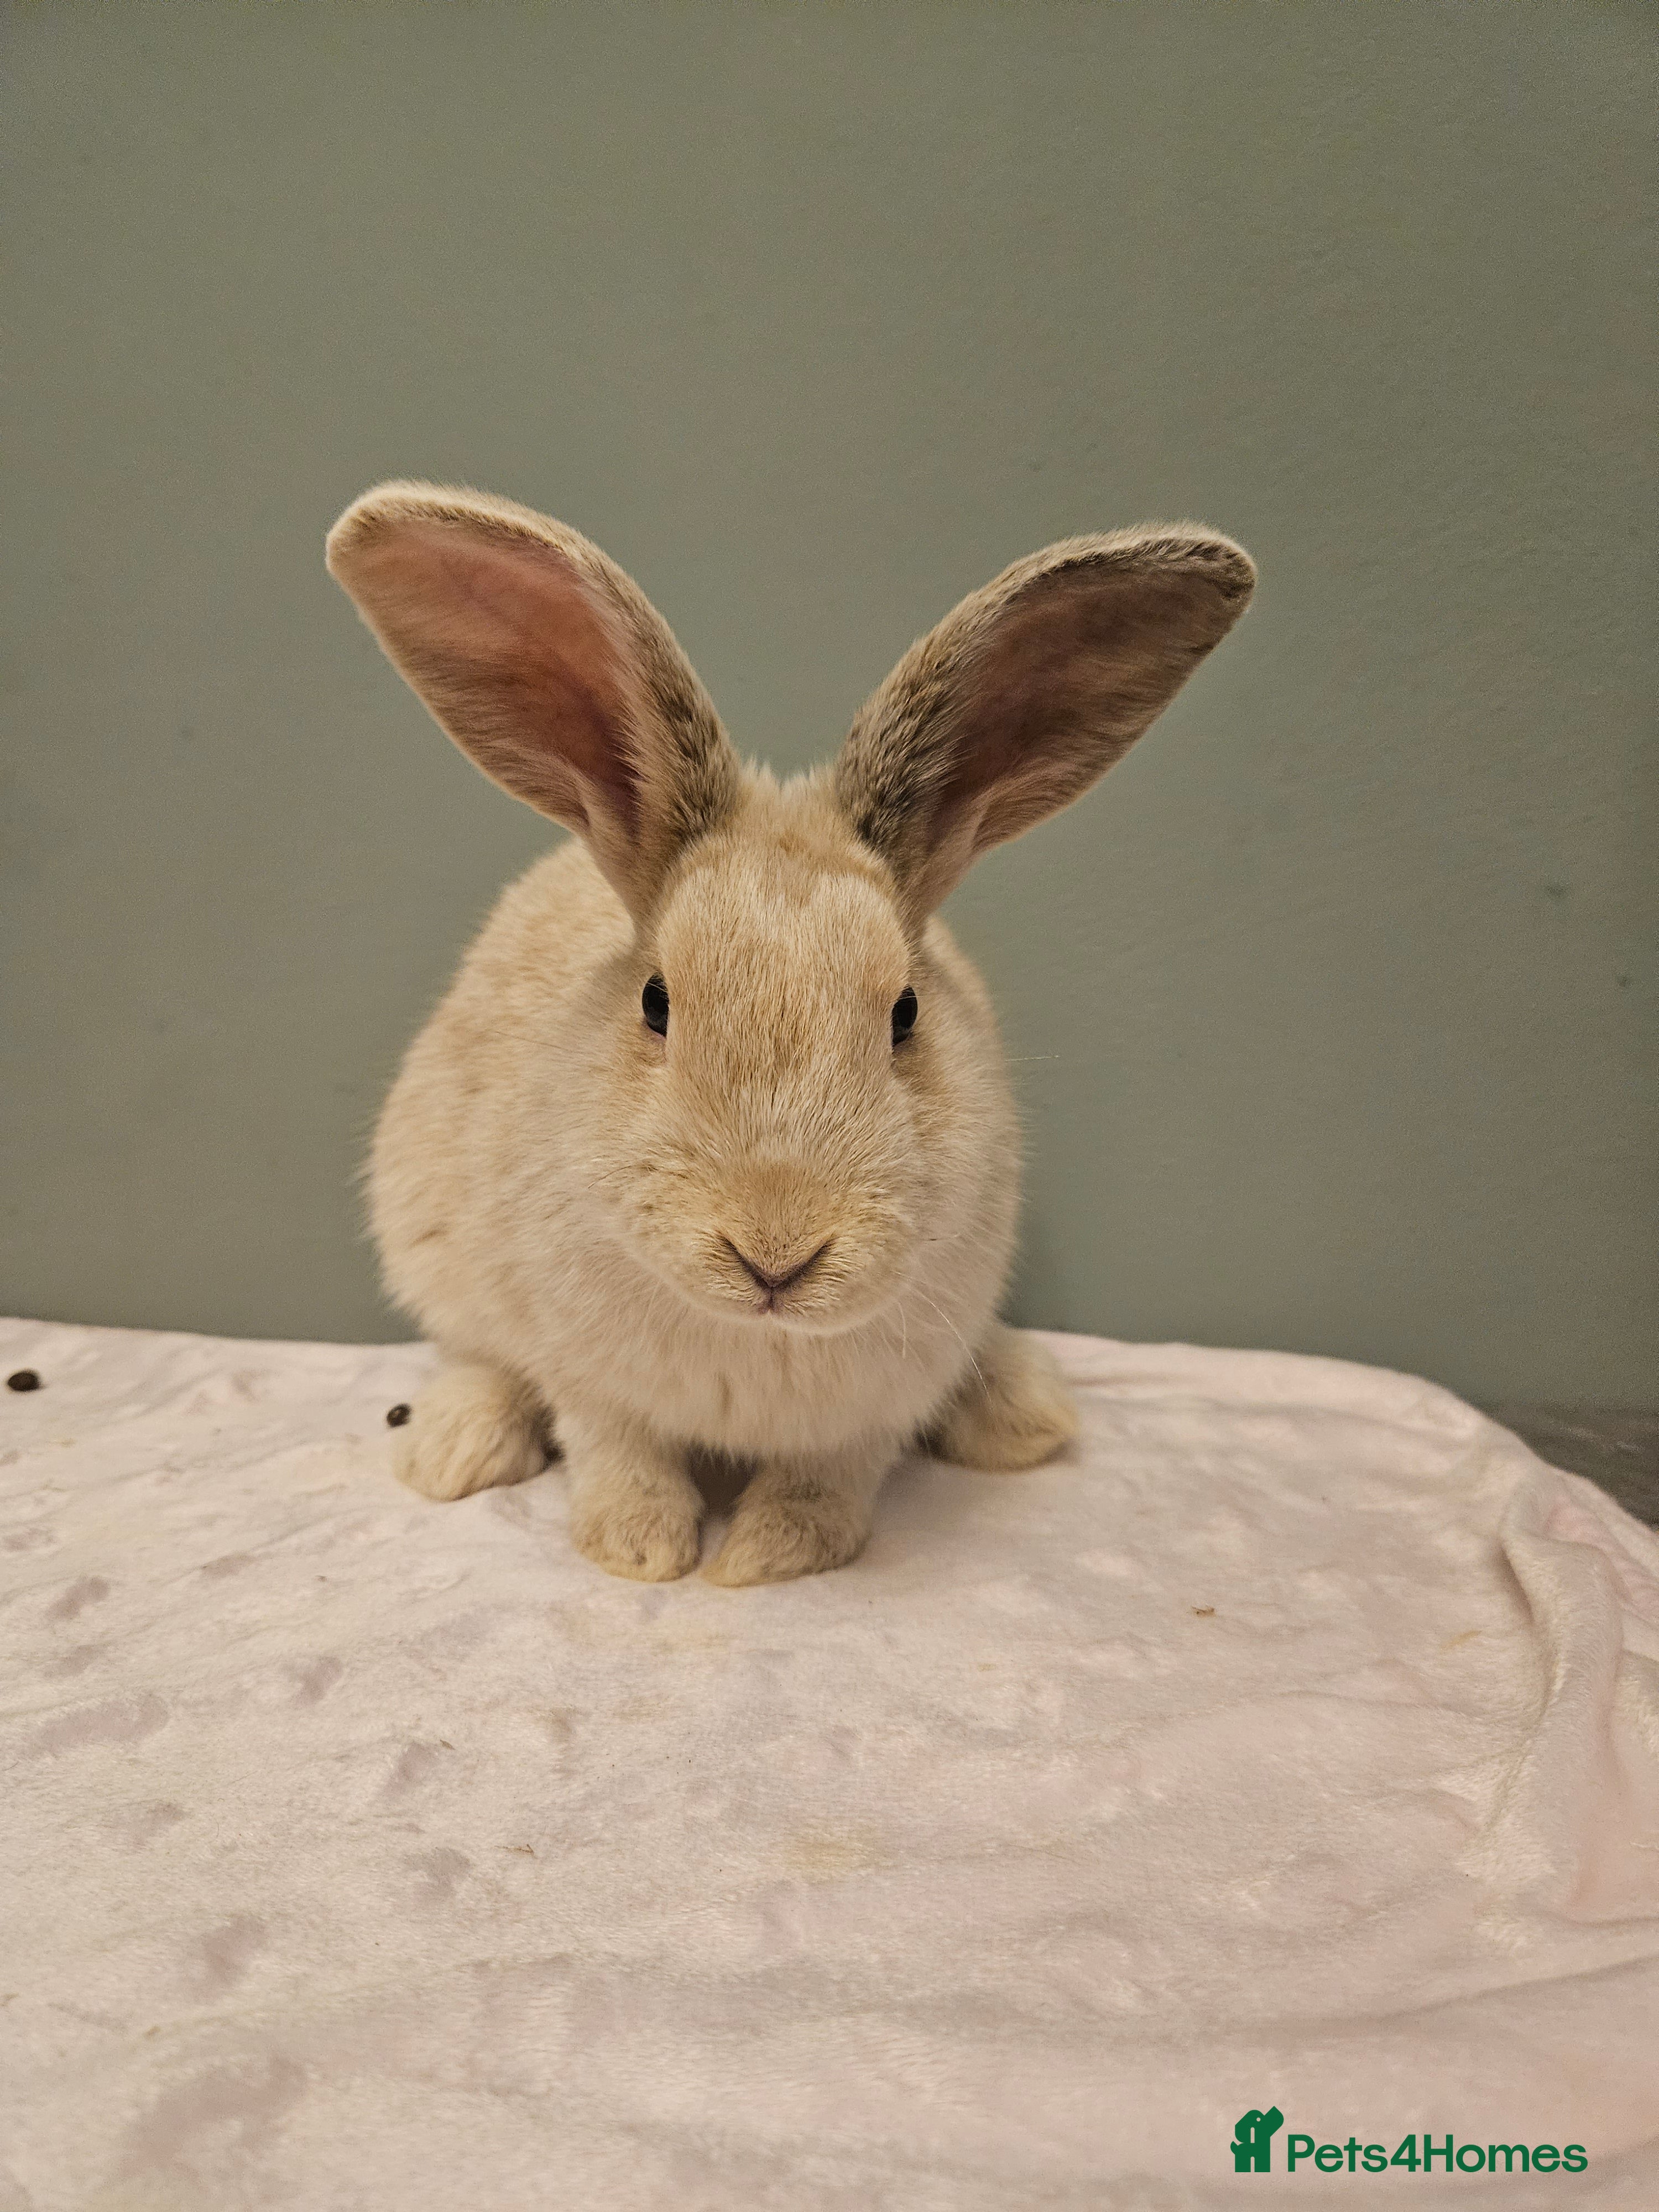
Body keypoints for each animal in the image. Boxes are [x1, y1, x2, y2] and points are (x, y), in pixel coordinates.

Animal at [326, 482, 1254, 1586]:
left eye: (905, 1014)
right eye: (656, 1002)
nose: (776, 1255)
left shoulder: (871, 1417)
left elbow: (826, 1483)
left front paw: (766, 1557)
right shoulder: (591, 1382)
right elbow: (620, 1455)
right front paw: (641, 1552)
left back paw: (1019, 1413)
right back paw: (454, 1446)